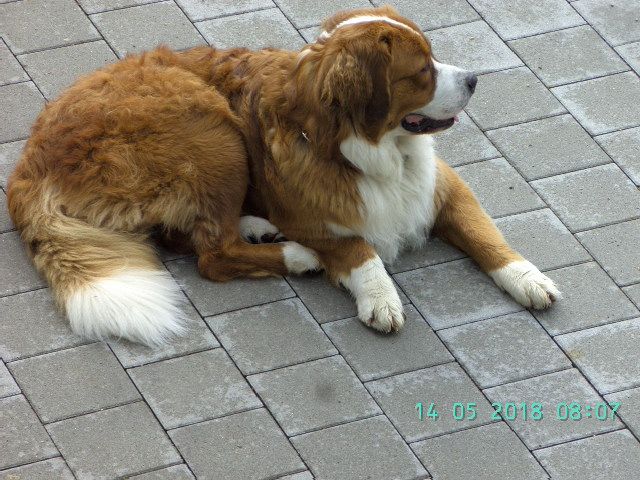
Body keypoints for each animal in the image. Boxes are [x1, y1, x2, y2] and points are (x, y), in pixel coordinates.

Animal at [8, 5, 560, 346]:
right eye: (422, 71)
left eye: (434, 54)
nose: (473, 79)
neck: (362, 149)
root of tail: (29, 162)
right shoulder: (316, 220)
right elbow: (359, 248)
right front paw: (379, 297)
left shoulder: (442, 189)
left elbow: (485, 234)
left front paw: (527, 277)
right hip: (212, 130)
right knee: (212, 254)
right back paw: (295, 255)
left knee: (190, 235)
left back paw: (257, 227)